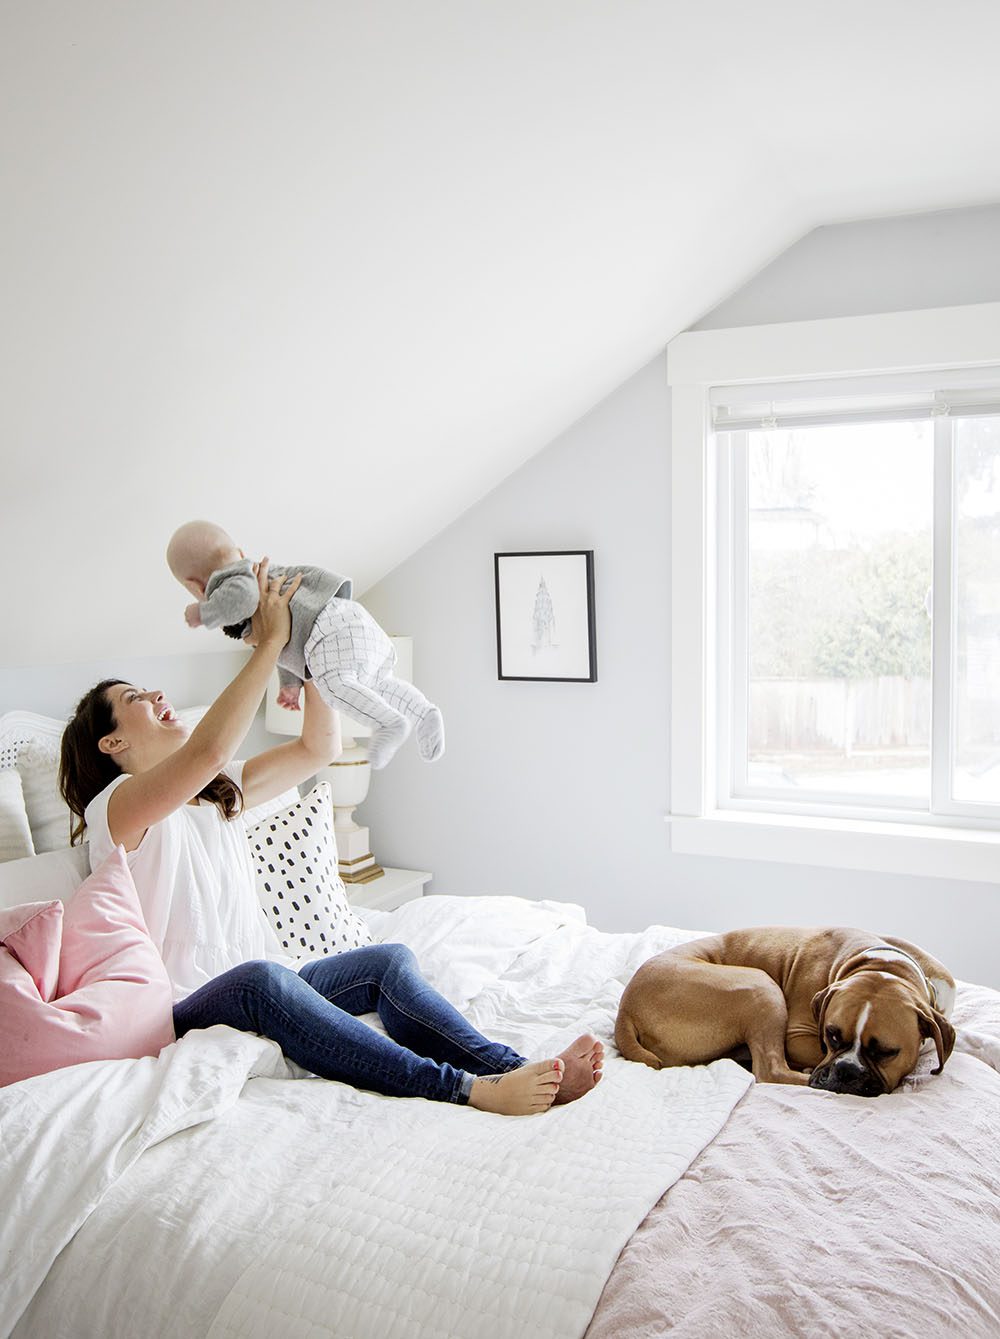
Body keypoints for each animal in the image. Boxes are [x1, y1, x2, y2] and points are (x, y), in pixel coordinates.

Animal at [618, 931, 953, 1097]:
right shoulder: (797, 1037)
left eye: (886, 1052)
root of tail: (626, 1009)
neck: (881, 965)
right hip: (761, 986)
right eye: (832, 1036)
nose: (845, 1070)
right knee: (770, 1069)